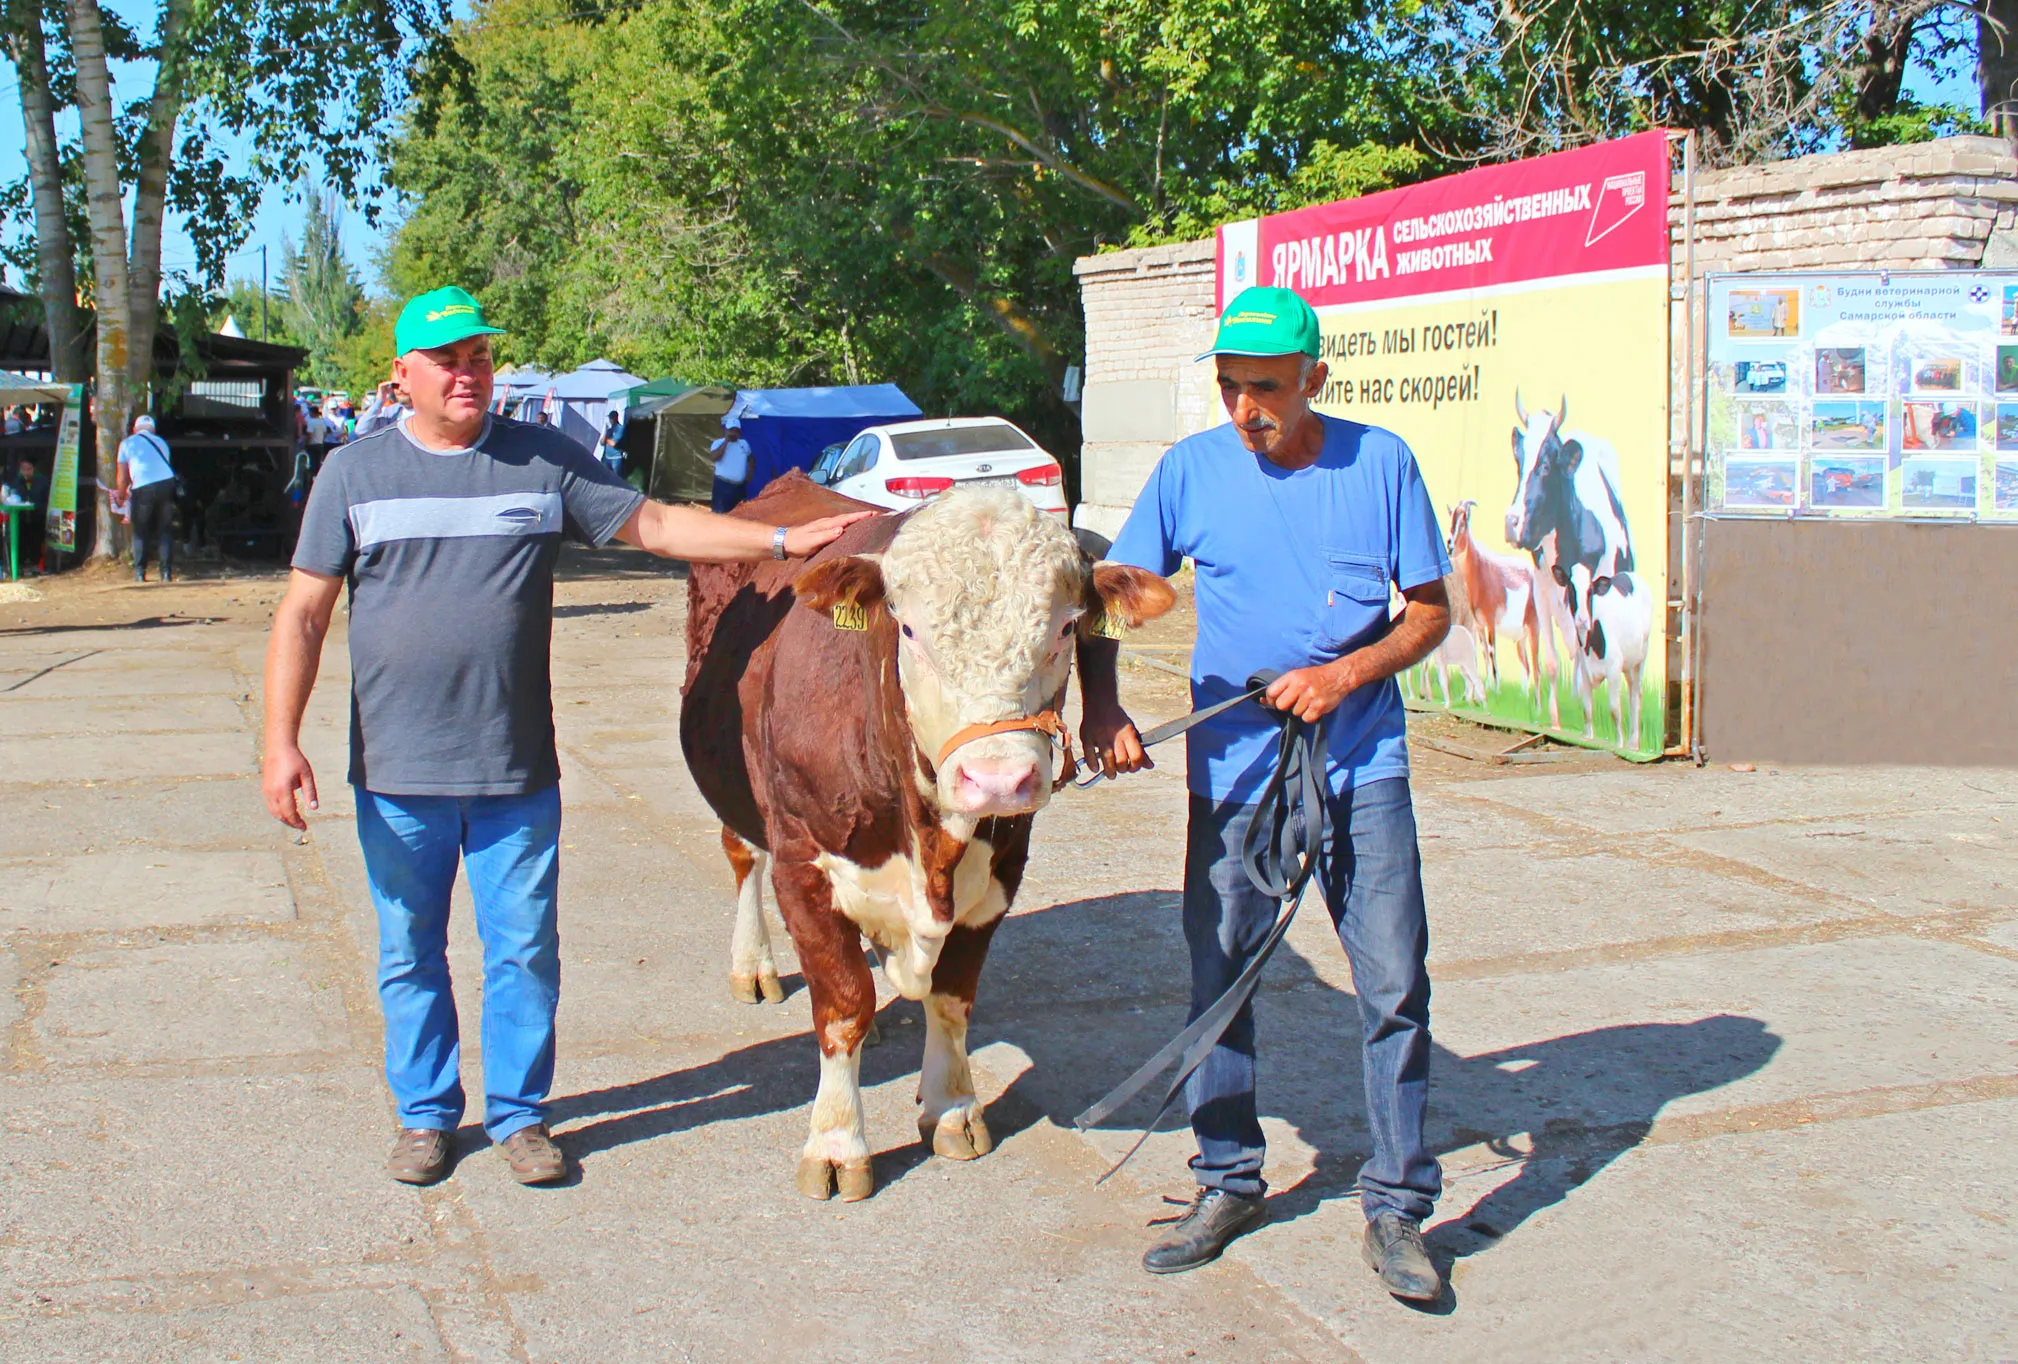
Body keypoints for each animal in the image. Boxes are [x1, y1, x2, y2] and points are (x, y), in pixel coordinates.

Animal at [686, 474, 1178, 1202]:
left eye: (1066, 626)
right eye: (908, 628)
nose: (998, 779)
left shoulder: (1000, 874)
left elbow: (951, 997)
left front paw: (952, 1108)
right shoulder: (803, 862)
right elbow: (841, 1005)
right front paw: (837, 1142)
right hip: (733, 786)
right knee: (743, 856)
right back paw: (754, 966)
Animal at [1509, 393, 1630, 730]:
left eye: (1546, 464)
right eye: (1519, 462)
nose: (1512, 522)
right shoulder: (1541, 588)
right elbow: (1552, 661)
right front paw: (1555, 720)